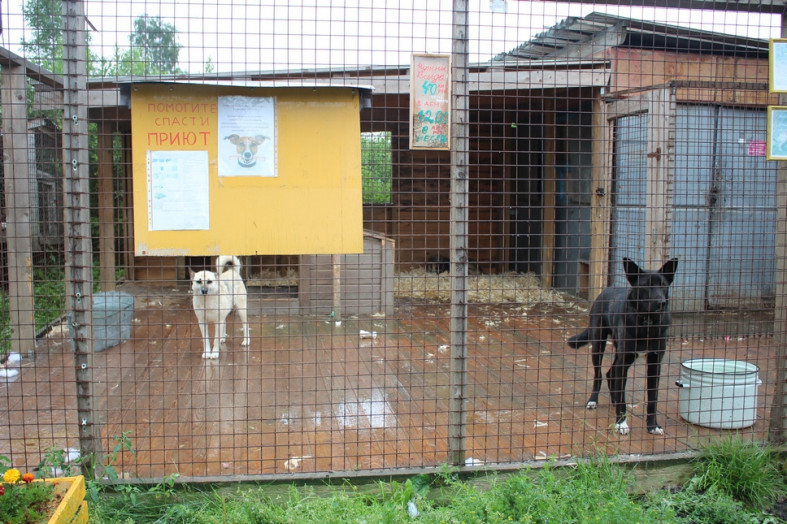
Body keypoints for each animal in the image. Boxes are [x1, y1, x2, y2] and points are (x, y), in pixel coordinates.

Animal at [568, 256, 680, 434]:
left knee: (611, 372)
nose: (661, 302)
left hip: (623, 354)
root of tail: (607, 289)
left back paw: (614, 399)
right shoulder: (624, 357)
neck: (646, 324)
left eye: (663, 285)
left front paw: (653, 425)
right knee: (599, 374)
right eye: (645, 286)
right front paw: (621, 423)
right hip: (599, 345)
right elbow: (622, 396)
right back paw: (593, 400)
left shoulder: (654, 363)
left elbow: (652, 398)